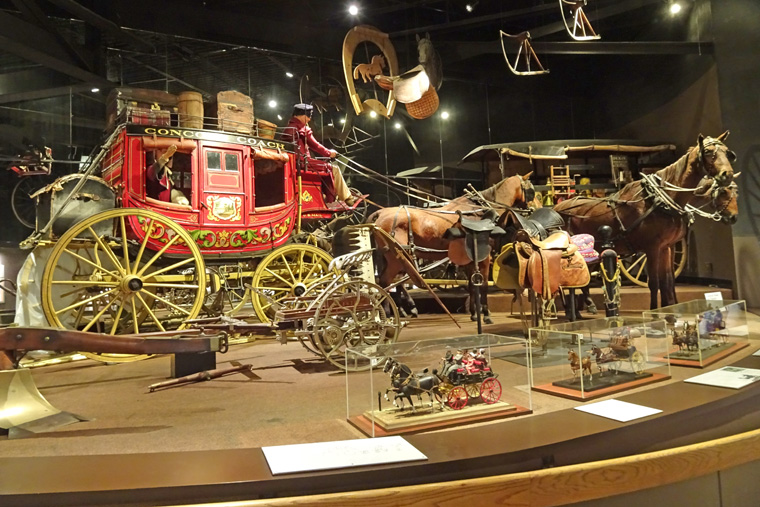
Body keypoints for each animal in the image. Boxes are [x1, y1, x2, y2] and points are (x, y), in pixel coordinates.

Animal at [368, 173, 536, 324]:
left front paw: (474, 314)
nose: (537, 208)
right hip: (396, 258)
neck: (480, 211)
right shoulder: (484, 257)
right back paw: (389, 314)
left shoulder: (469, 258)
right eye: (532, 190)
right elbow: (482, 285)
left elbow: (472, 284)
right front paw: (486, 314)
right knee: (386, 282)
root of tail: (380, 213)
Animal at [556, 133, 740, 310]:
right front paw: (654, 311)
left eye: (727, 152)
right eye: (708, 152)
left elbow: (667, 282)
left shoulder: (666, 247)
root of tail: (558, 208)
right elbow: (654, 283)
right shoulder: (652, 248)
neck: (659, 199)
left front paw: (669, 307)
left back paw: (588, 305)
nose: (727, 174)